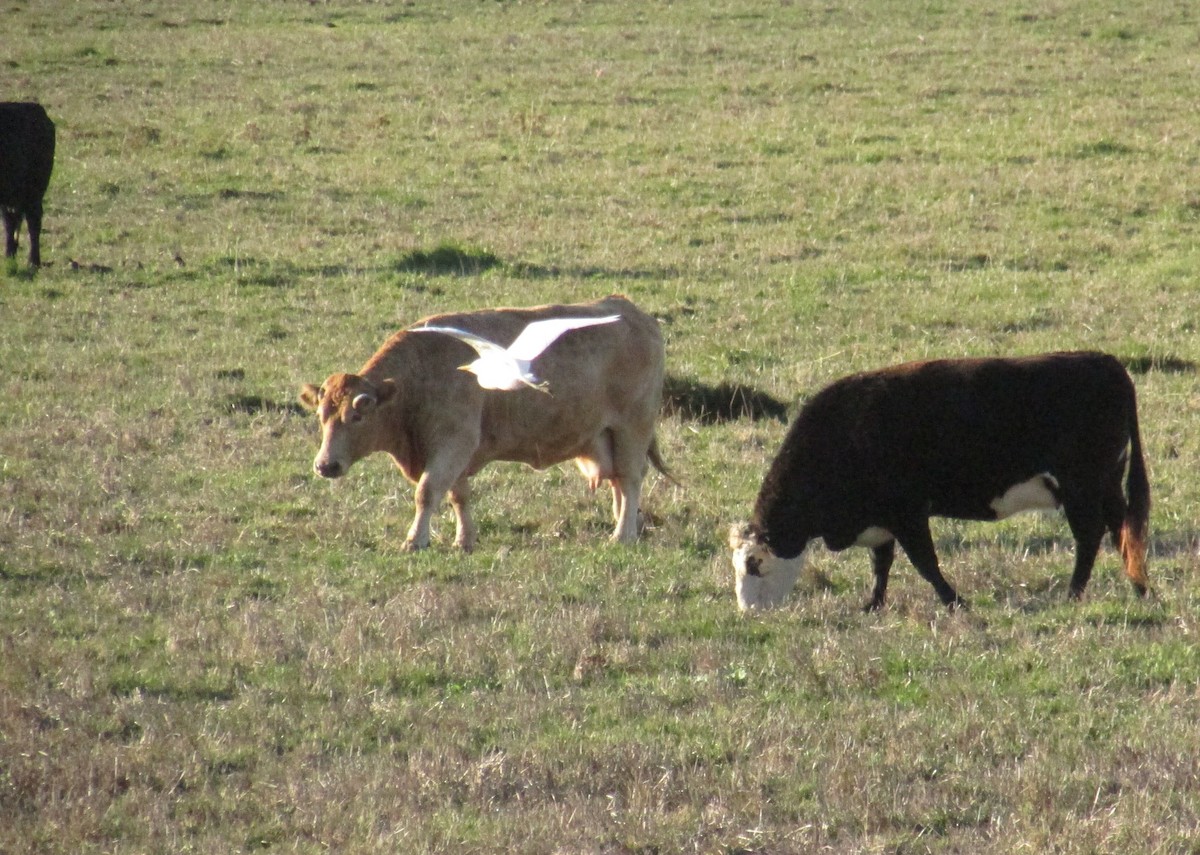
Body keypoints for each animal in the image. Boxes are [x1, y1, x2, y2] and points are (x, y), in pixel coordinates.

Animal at [300, 291, 672, 547]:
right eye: (321, 416)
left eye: (357, 416)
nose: (325, 465)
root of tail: (631, 312)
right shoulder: (453, 455)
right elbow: (458, 495)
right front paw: (464, 539)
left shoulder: (454, 442)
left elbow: (427, 491)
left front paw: (415, 540)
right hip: (607, 436)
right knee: (618, 482)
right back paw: (630, 525)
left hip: (632, 428)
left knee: (631, 478)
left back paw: (622, 535)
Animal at [729, 350, 1152, 610]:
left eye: (754, 563)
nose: (747, 611)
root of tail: (1105, 362)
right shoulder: (881, 521)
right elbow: (881, 564)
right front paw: (873, 604)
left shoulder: (908, 514)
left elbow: (925, 562)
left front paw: (954, 601)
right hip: (1106, 486)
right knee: (1123, 529)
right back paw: (1139, 588)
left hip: (1082, 488)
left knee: (1090, 536)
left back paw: (1074, 593)